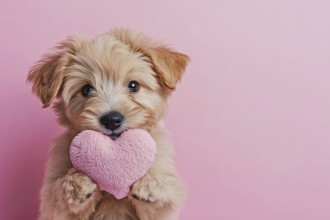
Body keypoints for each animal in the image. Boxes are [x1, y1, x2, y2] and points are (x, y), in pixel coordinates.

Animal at [26, 27, 188, 220]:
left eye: (133, 85)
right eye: (86, 89)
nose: (111, 120)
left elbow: (160, 197)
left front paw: (150, 184)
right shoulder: (53, 204)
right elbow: (61, 197)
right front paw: (76, 182)